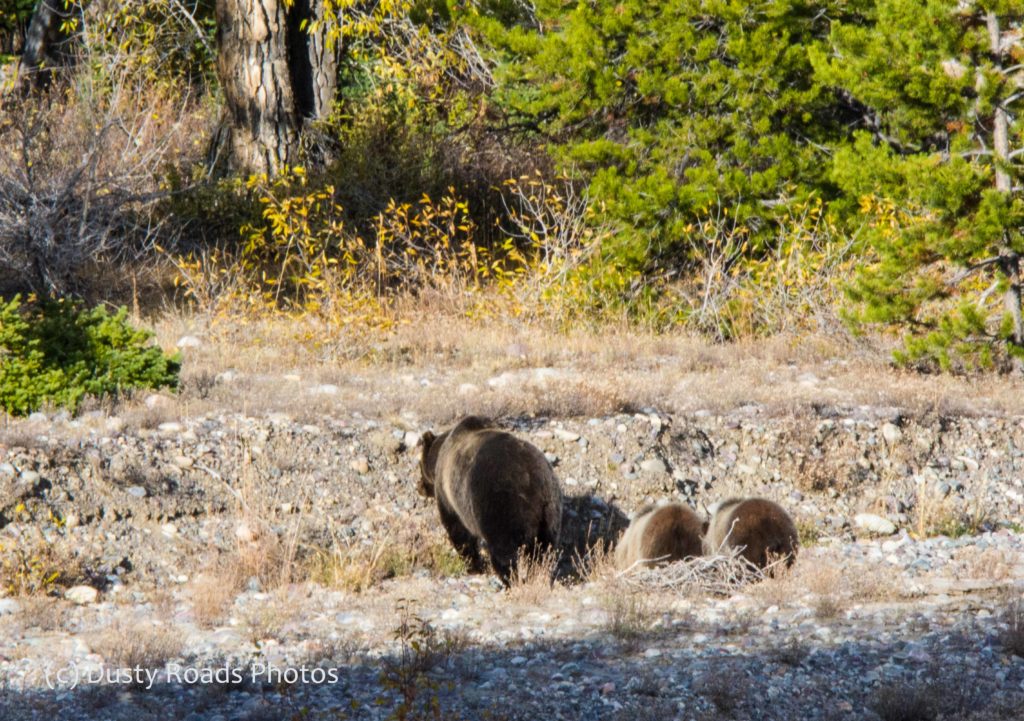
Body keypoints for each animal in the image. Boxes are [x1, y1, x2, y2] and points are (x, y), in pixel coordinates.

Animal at [415, 417, 561, 585]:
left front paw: (473, 566)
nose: (418, 487)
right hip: (549, 509)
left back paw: (509, 578)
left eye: (419, 466)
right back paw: (538, 575)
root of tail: (530, 478)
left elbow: (458, 530)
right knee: (544, 548)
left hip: (499, 504)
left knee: (503, 549)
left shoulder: (450, 493)